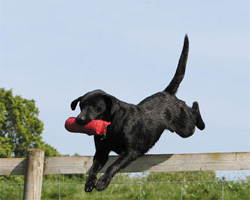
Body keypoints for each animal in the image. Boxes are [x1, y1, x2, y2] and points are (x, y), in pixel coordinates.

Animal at [70, 35, 205, 192]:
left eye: (95, 107)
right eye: (81, 106)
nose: (79, 119)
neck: (112, 125)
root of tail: (167, 92)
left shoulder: (130, 151)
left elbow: (113, 166)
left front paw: (102, 182)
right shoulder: (101, 152)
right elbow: (93, 168)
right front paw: (90, 182)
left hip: (185, 127)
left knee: (194, 108)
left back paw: (200, 119)